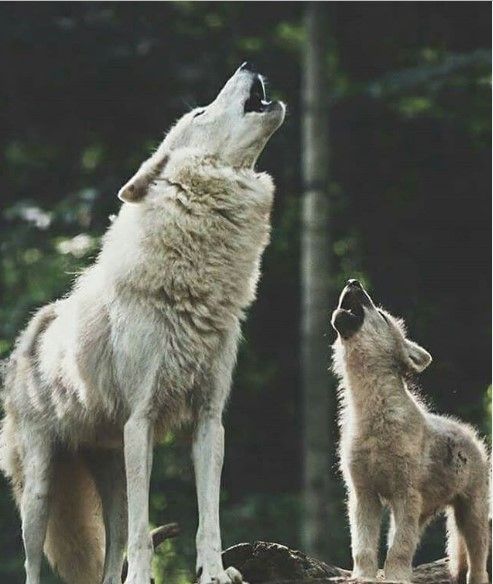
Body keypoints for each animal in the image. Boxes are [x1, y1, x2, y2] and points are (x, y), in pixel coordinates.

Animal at [0, 64, 284, 584]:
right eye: (199, 112)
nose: (247, 65)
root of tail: (31, 333)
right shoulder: (142, 421)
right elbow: (142, 529)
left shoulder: (210, 421)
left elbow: (208, 517)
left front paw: (215, 572)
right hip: (40, 491)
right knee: (34, 560)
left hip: (110, 474)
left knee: (111, 553)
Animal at [330, 278, 488, 584]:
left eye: (380, 314)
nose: (353, 281)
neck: (373, 414)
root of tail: (469, 432)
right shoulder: (363, 494)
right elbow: (363, 546)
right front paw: (363, 576)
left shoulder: (405, 494)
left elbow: (399, 547)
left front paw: (394, 577)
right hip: (426, 513)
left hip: (471, 516)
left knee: (478, 565)